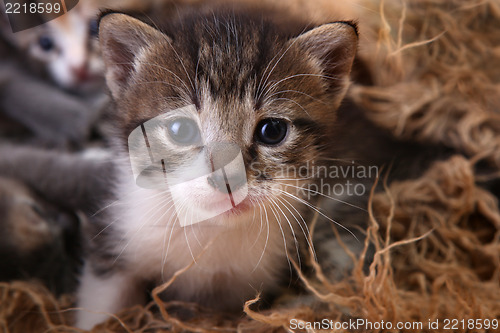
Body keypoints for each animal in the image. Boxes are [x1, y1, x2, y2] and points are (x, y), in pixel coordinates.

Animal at [76, 9, 358, 328]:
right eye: (180, 130)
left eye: (273, 130)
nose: (228, 180)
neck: (209, 230)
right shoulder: (119, 232)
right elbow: (102, 299)